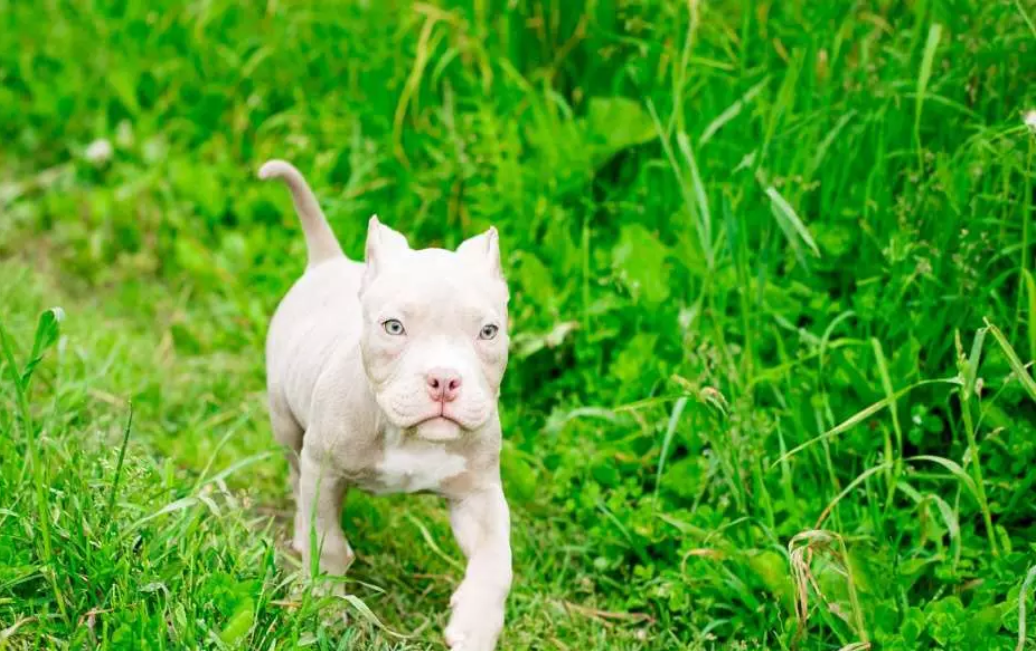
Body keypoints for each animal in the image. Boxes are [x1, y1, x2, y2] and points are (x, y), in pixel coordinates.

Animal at [259, 160, 512, 651]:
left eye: (488, 332)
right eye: (393, 327)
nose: (444, 380)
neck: (408, 435)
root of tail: (329, 260)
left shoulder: (478, 492)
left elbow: (497, 560)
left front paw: (475, 624)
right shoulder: (325, 470)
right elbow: (326, 541)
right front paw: (323, 604)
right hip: (286, 424)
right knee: (296, 476)